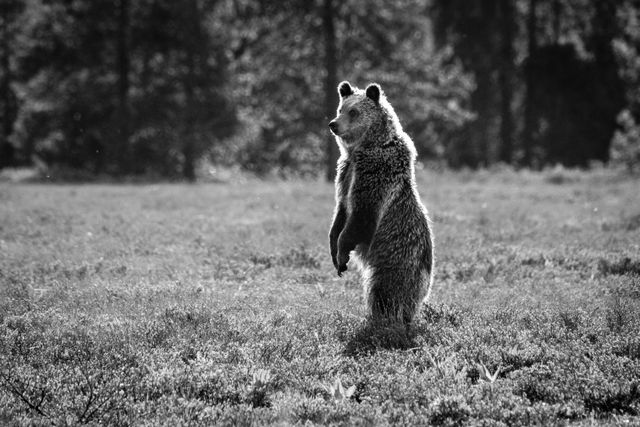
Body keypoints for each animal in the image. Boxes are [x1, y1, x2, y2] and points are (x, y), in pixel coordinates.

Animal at [328, 82, 432, 326]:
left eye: (353, 112)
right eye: (340, 109)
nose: (333, 124)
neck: (362, 149)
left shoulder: (375, 174)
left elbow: (361, 217)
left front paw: (342, 253)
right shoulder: (345, 173)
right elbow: (340, 213)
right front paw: (334, 252)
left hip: (397, 259)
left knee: (386, 291)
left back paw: (385, 320)